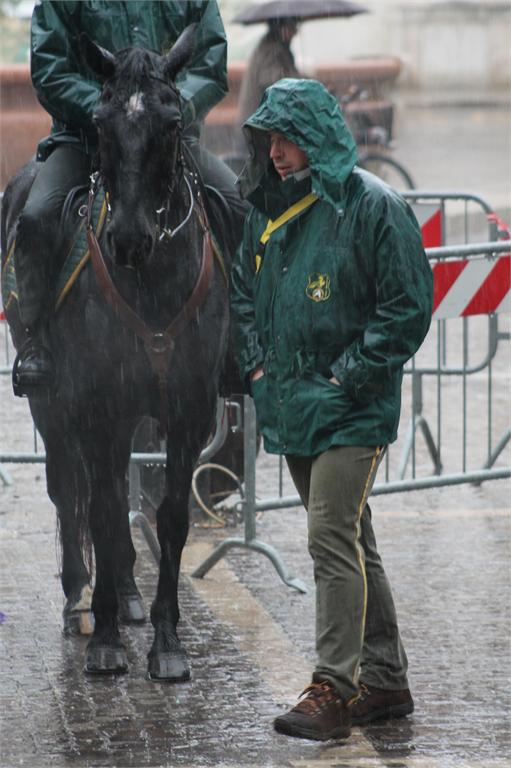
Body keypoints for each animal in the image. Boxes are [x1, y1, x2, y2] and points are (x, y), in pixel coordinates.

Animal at [0, 26, 231, 680]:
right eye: (99, 123)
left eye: (173, 123)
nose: (127, 239)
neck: (150, 282)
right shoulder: (99, 405)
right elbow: (101, 511)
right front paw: (104, 641)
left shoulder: (187, 411)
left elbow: (170, 518)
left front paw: (166, 641)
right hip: (52, 403)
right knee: (66, 487)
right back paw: (82, 598)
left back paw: (127, 595)